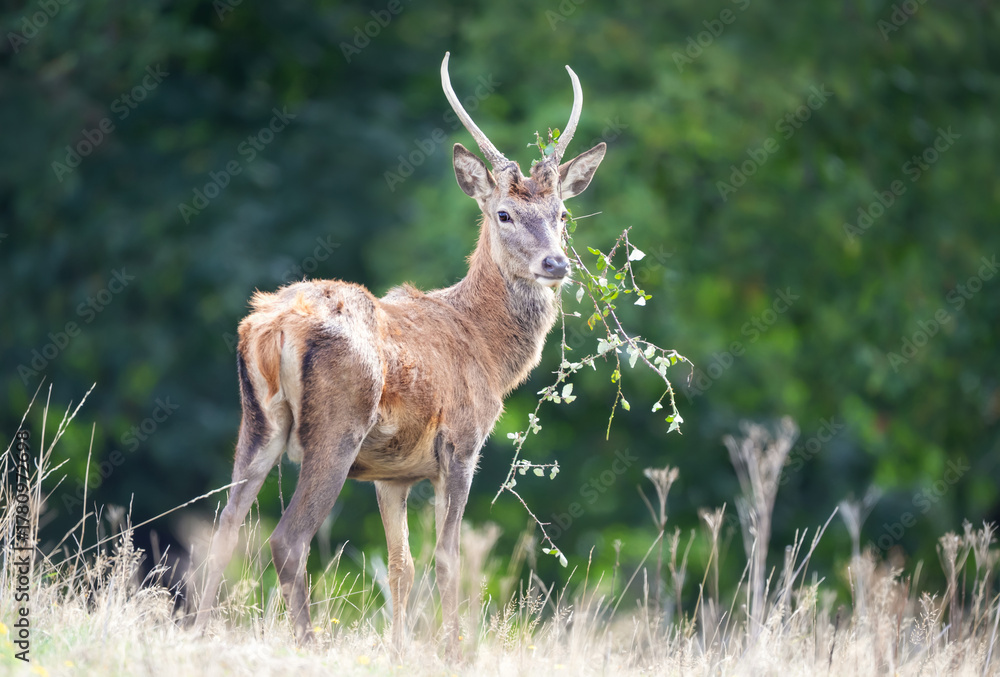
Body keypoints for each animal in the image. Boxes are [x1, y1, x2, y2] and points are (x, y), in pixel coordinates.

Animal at [192, 52, 606, 654]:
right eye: (504, 213)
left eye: (563, 216)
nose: (556, 263)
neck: (488, 353)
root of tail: (272, 327)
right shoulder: (460, 443)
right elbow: (448, 559)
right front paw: (454, 649)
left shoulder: (393, 475)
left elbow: (401, 566)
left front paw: (398, 648)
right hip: (338, 425)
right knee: (287, 538)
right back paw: (308, 641)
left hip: (257, 421)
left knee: (224, 527)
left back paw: (197, 634)